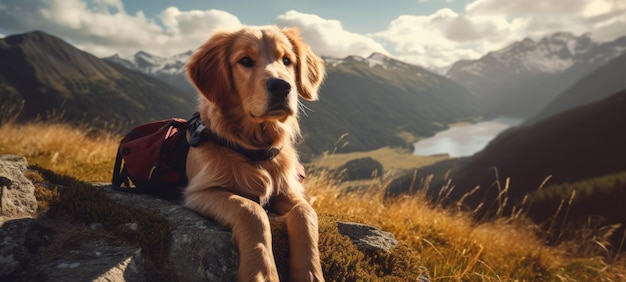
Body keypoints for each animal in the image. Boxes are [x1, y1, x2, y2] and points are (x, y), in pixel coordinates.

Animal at [183, 25, 324, 280]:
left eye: (286, 60)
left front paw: (310, 274)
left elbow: (306, 212)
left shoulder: (287, 189)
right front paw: (262, 273)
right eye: (245, 60)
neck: (256, 150)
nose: (281, 86)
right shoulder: (201, 191)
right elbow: (252, 210)